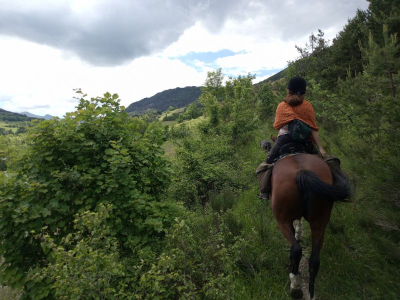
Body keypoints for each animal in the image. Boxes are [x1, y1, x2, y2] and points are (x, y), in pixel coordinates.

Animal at [270, 154, 352, 298]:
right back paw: (311, 293)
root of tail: (302, 172)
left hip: (282, 221)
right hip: (320, 220)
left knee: (296, 250)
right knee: (314, 259)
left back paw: (295, 287)